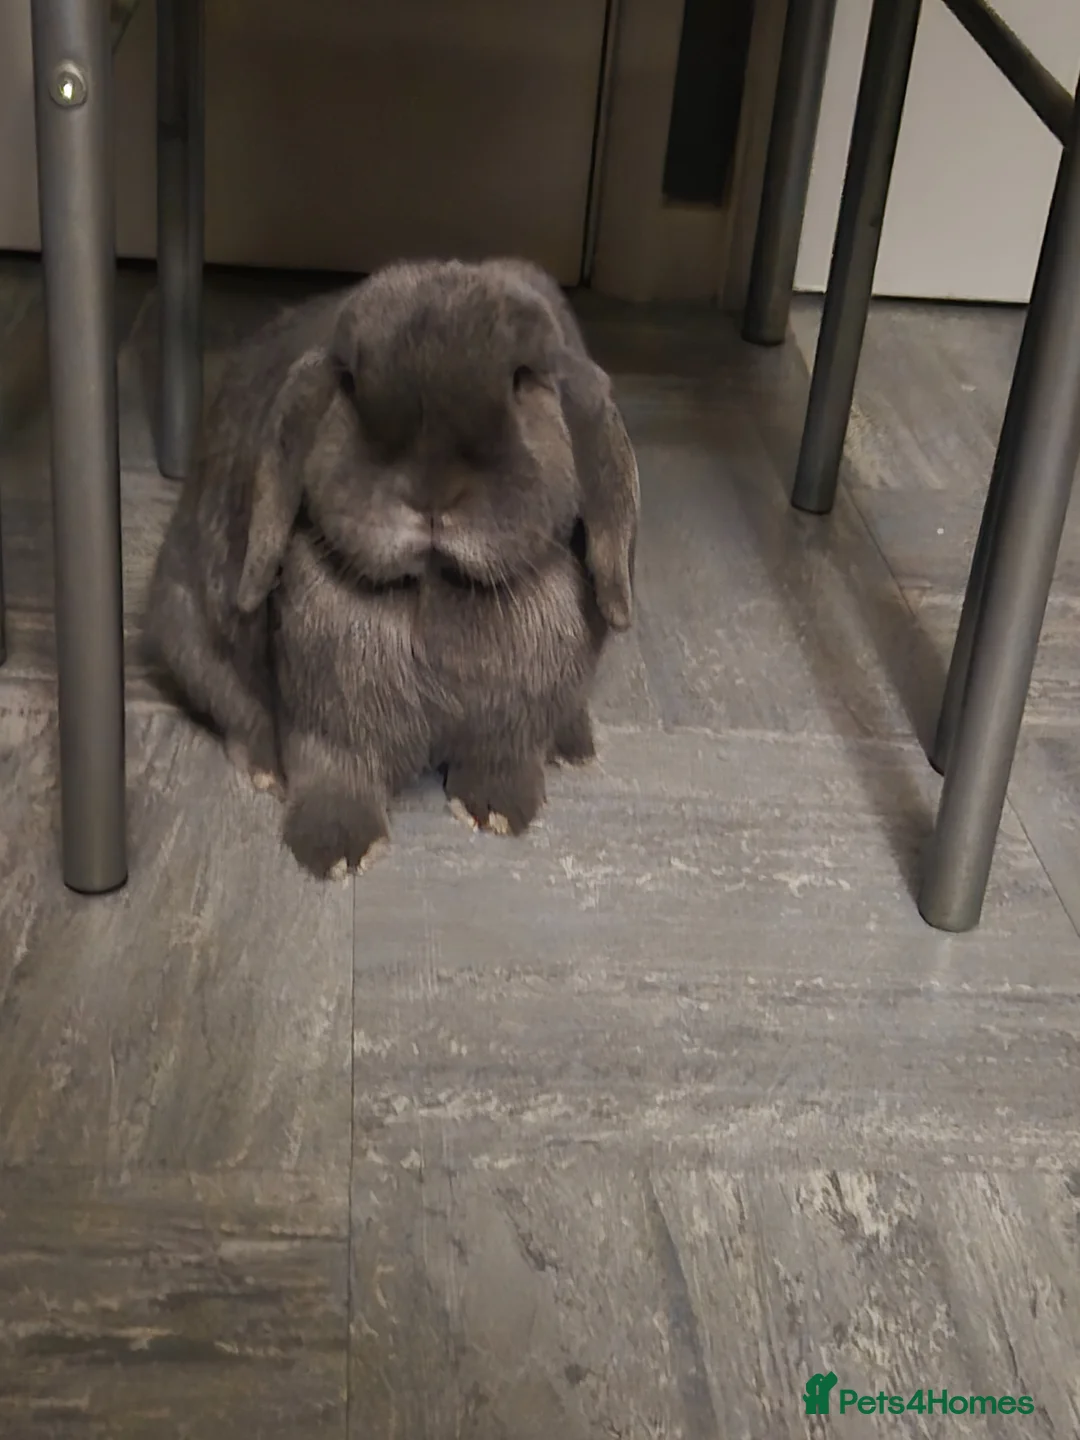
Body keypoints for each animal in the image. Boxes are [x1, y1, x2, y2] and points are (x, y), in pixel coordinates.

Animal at [145, 256, 640, 879]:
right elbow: (334, 769)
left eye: (523, 379)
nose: (430, 493)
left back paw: (574, 748)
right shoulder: (329, 719)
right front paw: (338, 849)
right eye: (352, 385)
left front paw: (499, 811)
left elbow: (506, 757)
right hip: (189, 639)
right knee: (235, 711)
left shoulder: (515, 720)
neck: (434, 587)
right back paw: (263, 770)